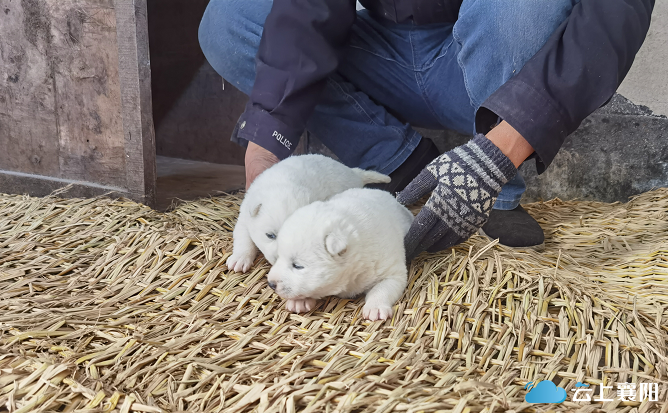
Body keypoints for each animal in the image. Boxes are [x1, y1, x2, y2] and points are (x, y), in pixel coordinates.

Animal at [227, 153, 392, 272]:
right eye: (270, 235)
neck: (282, 183)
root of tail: (353, 172)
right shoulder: (245, 215)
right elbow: (243, 238)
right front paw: (239, 259)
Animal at [266, 188, 412, 320]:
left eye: (297, 265)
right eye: (279, 257)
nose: (270, 284)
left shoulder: (391, 270)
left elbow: (382, 288)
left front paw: (375, 308)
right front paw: (298, 302)